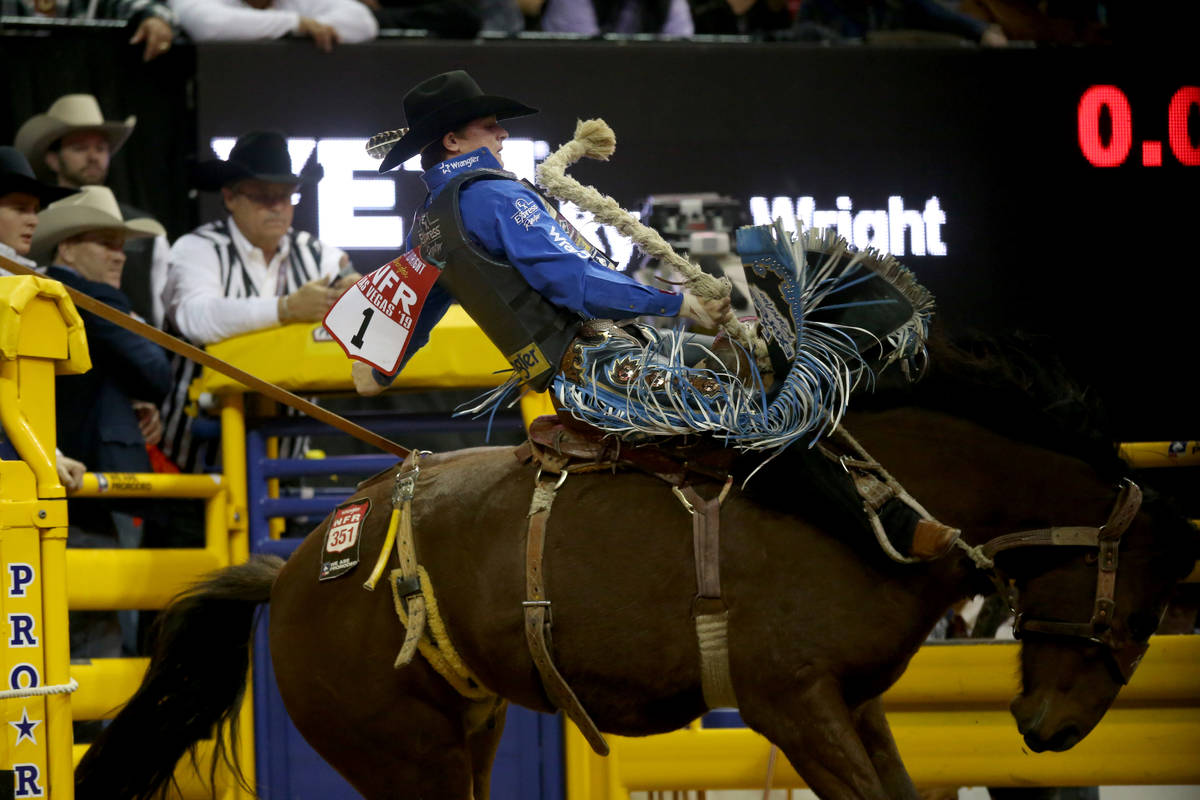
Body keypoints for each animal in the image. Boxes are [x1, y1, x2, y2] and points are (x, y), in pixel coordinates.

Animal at [75, 340, 1200, 796]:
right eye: (1141, 608)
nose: (1048, 733)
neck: (865, 499)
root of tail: (297, 568)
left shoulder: (854, 703)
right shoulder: (792, 702)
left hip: (466, 732)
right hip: (399, 753)